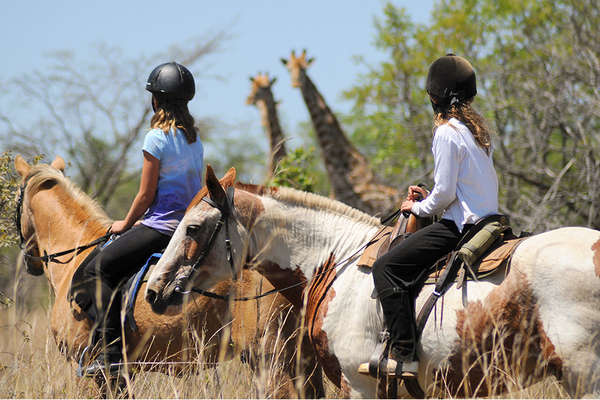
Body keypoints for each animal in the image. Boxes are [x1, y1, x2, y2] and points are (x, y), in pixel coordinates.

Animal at [12, 155, 324, 396]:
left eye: (16, 200)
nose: (29, 260)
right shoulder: (122, 374)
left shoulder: (87, 367)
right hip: (304, 362)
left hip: (272, 359)